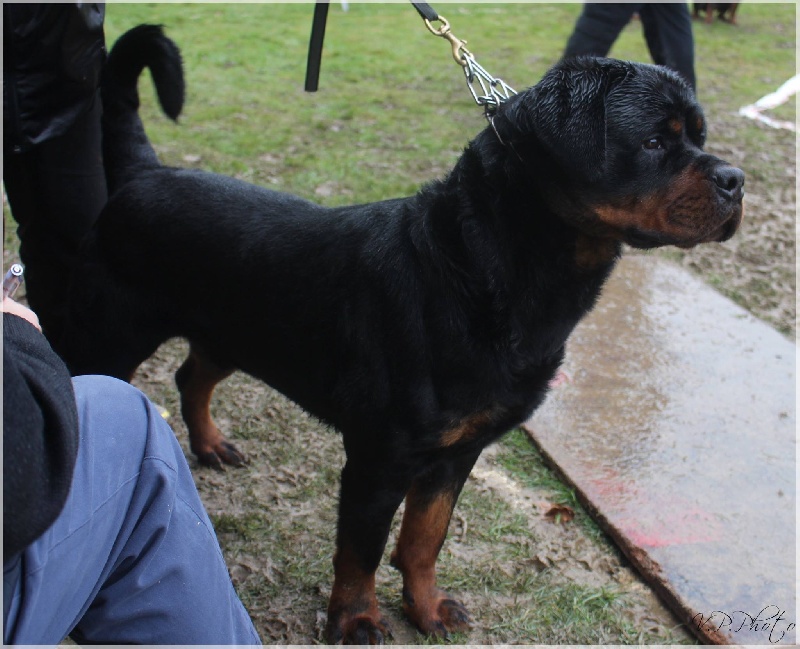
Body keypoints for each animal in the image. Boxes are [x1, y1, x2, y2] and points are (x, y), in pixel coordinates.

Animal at [58, 25, 744, 644]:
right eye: (655, 140)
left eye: (699, 137)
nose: (736, 180)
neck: (481, 269)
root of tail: (143, 174)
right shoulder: (380, 456)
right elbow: (360, 550)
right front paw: (356, 620)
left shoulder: (456, 453)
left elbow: (423, 538)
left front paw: (427, 608)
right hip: (112, 335)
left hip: (231, 331)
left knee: (192, 374)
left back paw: (209, 444)